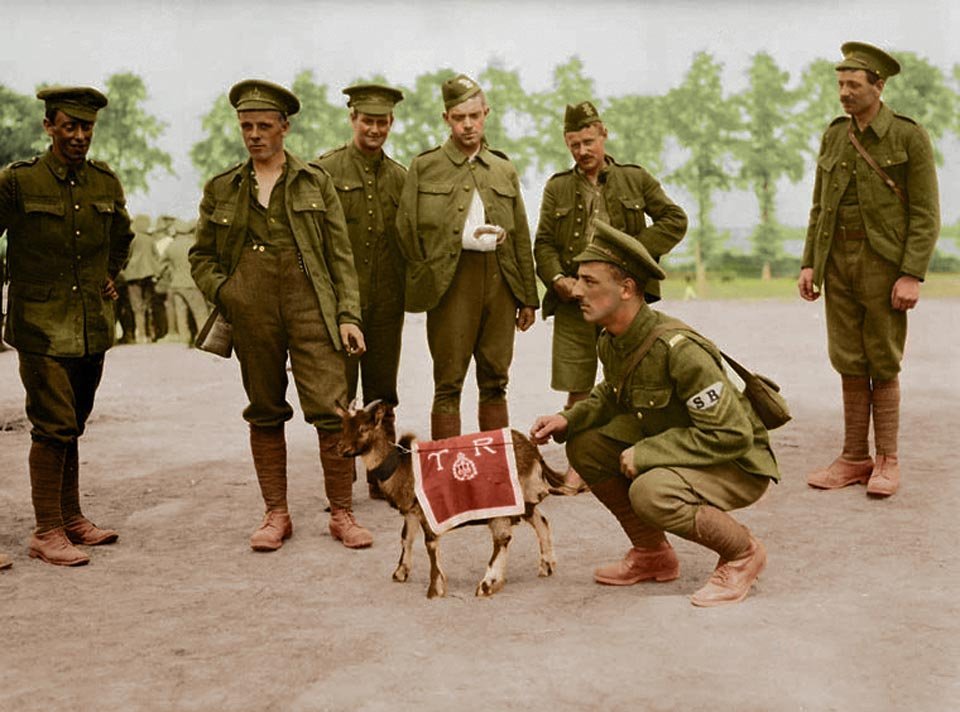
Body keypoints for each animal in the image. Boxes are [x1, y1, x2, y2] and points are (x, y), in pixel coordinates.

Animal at [336, 404, 568, 596]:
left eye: (363, 429)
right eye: (344, 426)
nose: (341, 449)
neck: (400, 465)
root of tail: (533, 451)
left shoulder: (428, 511)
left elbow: (430, 544)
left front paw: (435, 588)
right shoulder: (411, 510)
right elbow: (406, 538)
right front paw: (400, 573)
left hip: (502, 500)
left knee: (502, 538)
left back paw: (487, 584)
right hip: (521, 499)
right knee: (540, 520)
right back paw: (546, 565)